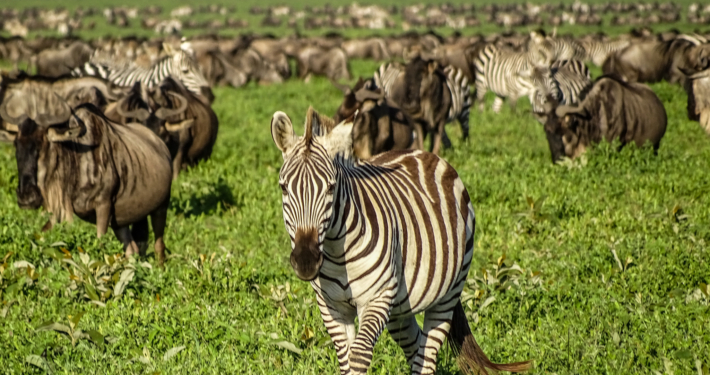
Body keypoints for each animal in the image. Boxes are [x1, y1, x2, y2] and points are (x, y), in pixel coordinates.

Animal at [272, 106, 536, 375]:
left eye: (330, 187)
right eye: (284, 188)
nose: (306, 261)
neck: (337, 253)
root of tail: (420, 152)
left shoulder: (377, 298)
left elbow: (358, 356)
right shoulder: (331, 306)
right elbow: (345, 359)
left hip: (449, 291)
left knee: (427, 355)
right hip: (401, 307)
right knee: (417, 347)